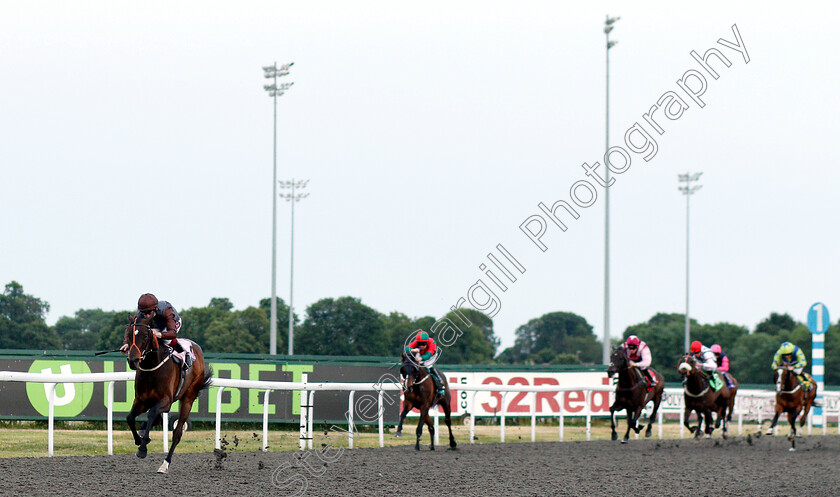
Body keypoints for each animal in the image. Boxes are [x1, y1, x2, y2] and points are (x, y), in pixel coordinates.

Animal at [124, 314, 212, 472]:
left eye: (145, 335)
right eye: (128, 334)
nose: (133, 360)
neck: (152, 367)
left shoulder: (166, 401)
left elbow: (152, 414)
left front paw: (142, 449)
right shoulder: (141, 400)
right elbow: (130, 418)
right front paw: (140, 440)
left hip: (188, 399)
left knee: (177, 432)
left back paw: (165, 464)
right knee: (157, 420)